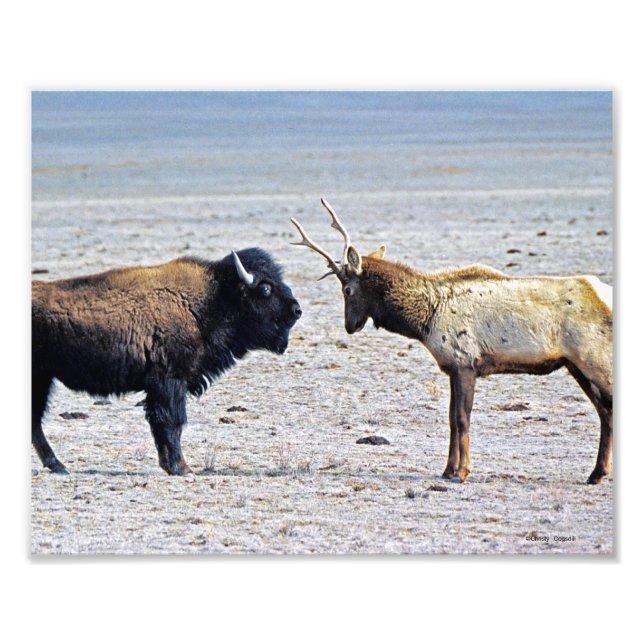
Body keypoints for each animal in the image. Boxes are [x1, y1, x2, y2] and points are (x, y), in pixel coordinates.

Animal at [32, 248, 301, 475]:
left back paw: (58, 466)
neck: (211, 301)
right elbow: (172, 421)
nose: (297, 310)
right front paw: (181, 468)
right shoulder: (169, 380)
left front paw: (171, 466)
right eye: (265, 289)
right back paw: (58, 466)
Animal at [291, 198, 612, 484]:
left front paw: (462, 472)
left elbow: (461, 418)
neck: (424, 320)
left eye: (347, 289)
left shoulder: (465, 363)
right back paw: (596, 474)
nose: (350, 326)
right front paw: (447, 470)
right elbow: (449, 419)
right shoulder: (452, 368)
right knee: (605, 411)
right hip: (576, 366)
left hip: (594, 360)